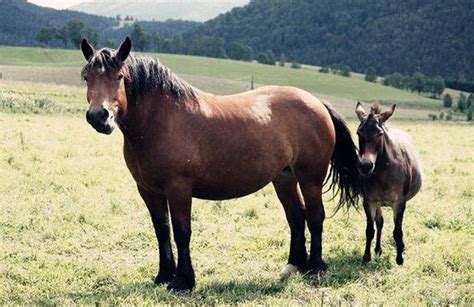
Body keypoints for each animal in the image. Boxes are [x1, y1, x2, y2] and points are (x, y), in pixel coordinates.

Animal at [80, 37, 360, 292]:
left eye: (119, 77)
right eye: (86, 77)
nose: (99, 116)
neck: (159, 121)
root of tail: (316, 102)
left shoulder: (178, 188)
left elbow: (182, 231)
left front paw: (183, 281)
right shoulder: (148, 190)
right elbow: (162, 230)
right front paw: (163, 275)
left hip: (310, 177)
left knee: (315, 215)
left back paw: (315, 268)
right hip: (284, 177)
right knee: (296, 215)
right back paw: (293, 265)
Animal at [356, 102, 422, 266]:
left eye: (380, 134)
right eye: (359, 133)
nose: (366, 166)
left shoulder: (399, 203)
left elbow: (397, 231)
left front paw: (399, 259)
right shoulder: (369, 201)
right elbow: (370, 230)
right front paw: (366, 257)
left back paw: (400, 248)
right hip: (378, 203)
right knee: (380, 222)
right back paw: (378, 249)